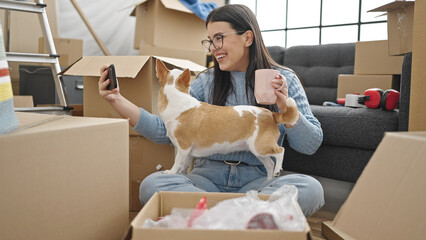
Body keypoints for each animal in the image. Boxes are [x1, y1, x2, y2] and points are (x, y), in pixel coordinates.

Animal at [155, 59, 298, 179]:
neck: (177, 98)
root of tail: (270, 115)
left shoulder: (183, 148)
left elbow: (177, 162)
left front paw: (171, 172)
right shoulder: (188, 153)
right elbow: (184, 165)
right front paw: (182, 174)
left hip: (260, 147)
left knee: (280, 151)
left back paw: (277, 170)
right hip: (258, 151)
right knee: (269, 164)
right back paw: (267, 181)